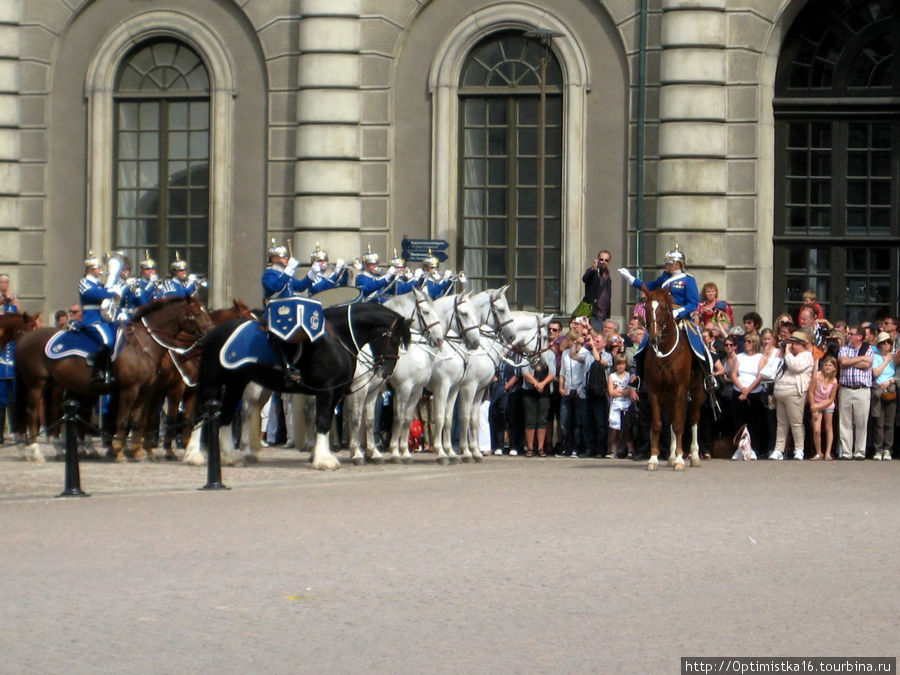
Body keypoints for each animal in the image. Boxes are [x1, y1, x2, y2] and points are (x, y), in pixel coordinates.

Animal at [12, 298, 211, 462]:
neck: (144, 345)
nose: (210, 333)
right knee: (32, 413)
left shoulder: (146, 391)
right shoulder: (130, 389)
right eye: (196, 314)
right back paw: (36, 451)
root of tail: (23, 338)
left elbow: (138, 420)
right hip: (37, 385)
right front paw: (120, 451)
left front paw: (137, 452)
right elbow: (123, 420)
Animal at [185, 304, 410, 472]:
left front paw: (321, 454)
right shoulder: (327, 391)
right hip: (215, 382)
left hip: (236, 383)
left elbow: (326, 422)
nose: (386, 371)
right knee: (205, 412)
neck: (339, 339)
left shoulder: (336, 393)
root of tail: (211, 334)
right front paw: (324, 460)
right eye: (394, 338)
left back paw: (231, 457)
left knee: (226, 415)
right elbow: (323, 421)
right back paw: (195, 454)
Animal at [644, 286, 708, 470]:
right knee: (672, 420)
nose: (654, 338)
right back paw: (672, 456)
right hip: (669, 396)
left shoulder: (680, 389)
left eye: (665, 308)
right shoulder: (654, 391)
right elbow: (658, 425)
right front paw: (653, 458)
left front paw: (680, 460)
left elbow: (680, 425)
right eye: (646, 308)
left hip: (696, 391)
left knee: (693, 420)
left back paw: (694, 456)